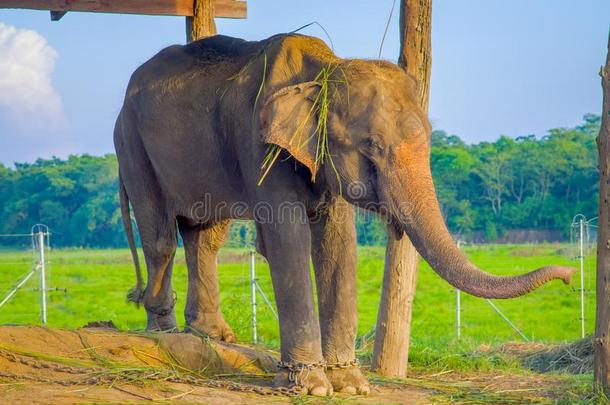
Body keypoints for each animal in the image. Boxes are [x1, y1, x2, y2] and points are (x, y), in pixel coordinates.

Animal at [113, 34, 568, 394]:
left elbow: (337, 244)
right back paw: (164, 330)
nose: (568, 274)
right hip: (131, 143)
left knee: (204, 234)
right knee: (160, 236)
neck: (325, 69)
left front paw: (350, 384)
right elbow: (288, 238)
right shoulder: (257, 141)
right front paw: (310, 387)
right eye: (371, 147)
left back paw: (211, 332)